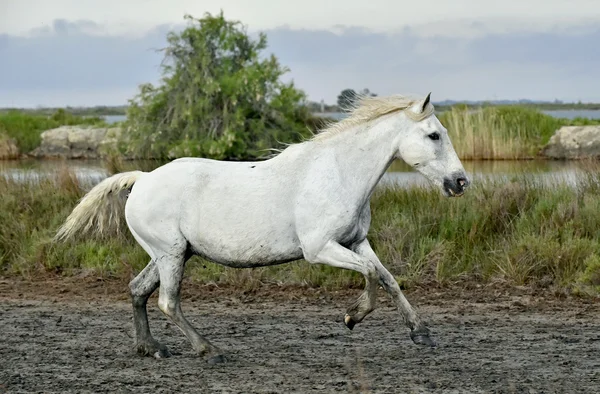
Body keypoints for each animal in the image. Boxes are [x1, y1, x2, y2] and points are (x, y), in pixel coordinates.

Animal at [55, 92, 468, 364]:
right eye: (434, 135)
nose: (461, 182)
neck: (337, 173)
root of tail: (142, 178)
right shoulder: (320, 249)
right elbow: (370, 275)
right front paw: (353, 316)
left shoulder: (356, 242)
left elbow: (388, 279)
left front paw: (421, 334)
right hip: (170, 255)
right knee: (167, 302)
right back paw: (210, 350)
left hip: (169, 254)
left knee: (138, 290)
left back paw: (151, 348)